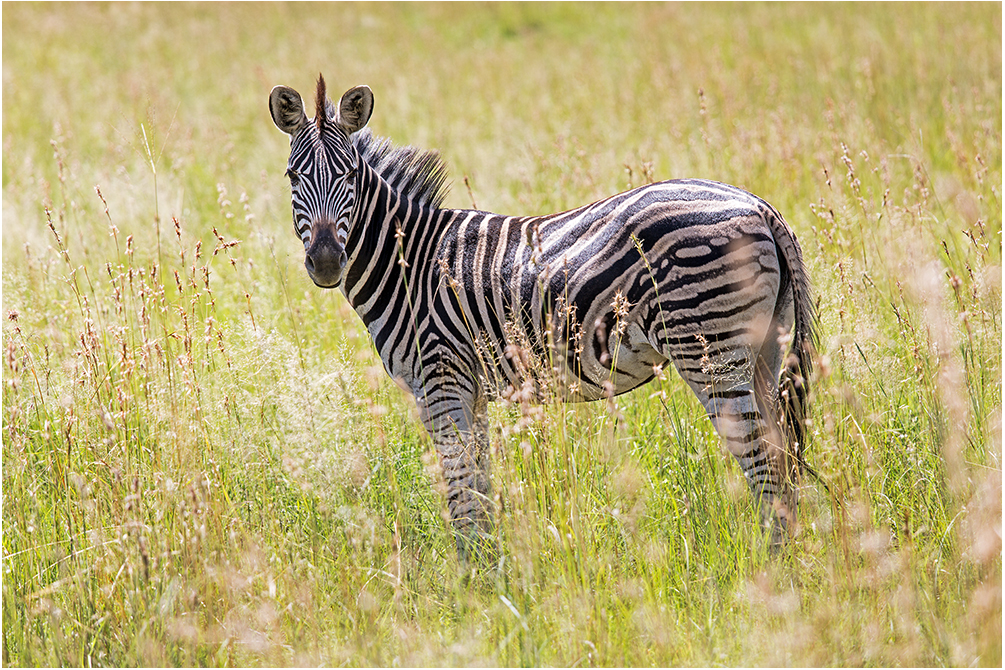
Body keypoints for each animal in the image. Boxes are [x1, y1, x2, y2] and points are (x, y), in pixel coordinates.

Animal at [269, 75, 816, 562]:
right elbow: (480, 487)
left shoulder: (441, 379)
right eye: (293, 176)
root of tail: (758, 206)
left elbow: (461, 490)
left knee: (765, 467)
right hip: (761, 350)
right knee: (782, 459)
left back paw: (769, 576)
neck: (411, 263)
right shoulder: (471, 389)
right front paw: (493, 574)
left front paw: (473, 587)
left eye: (349, 176)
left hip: (710, 349)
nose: (325, 262)